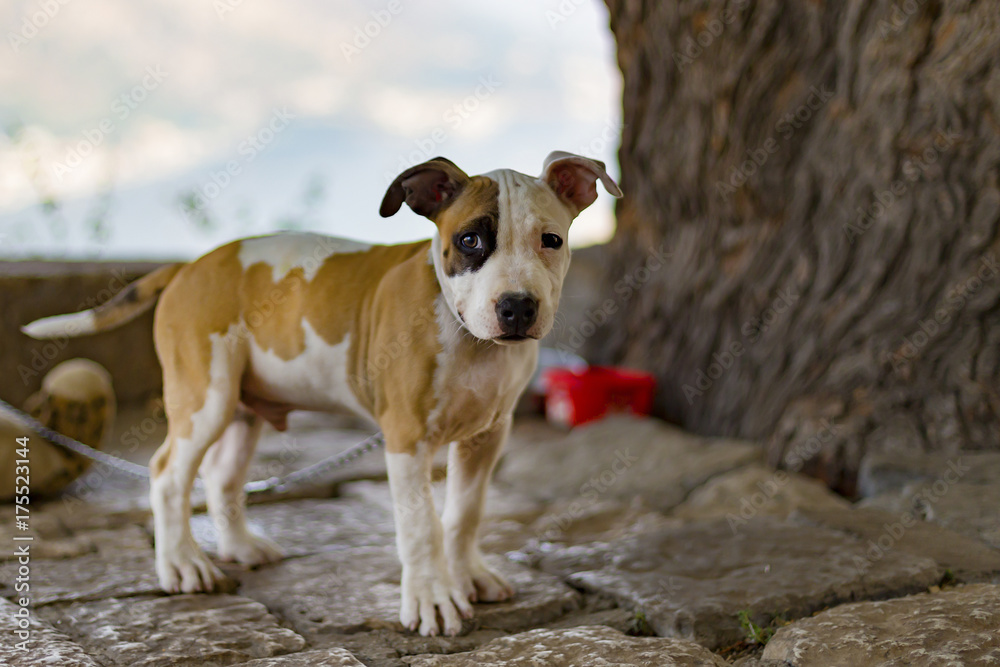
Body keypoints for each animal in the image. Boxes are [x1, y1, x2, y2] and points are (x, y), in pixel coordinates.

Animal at [21, 151, 616, 636]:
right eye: (470, 240)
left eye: (551, 241)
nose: (517, 307)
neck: (467, 337)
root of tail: (189, 266)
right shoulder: (406, 438)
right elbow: (421, 526)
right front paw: (432, 600)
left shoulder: (487, 435)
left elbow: (465, 512)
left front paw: (468, 575)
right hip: (203, 398)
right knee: (168, 473)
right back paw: (182, 566)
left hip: (244, 407)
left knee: (222, 476)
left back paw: (240, 547)